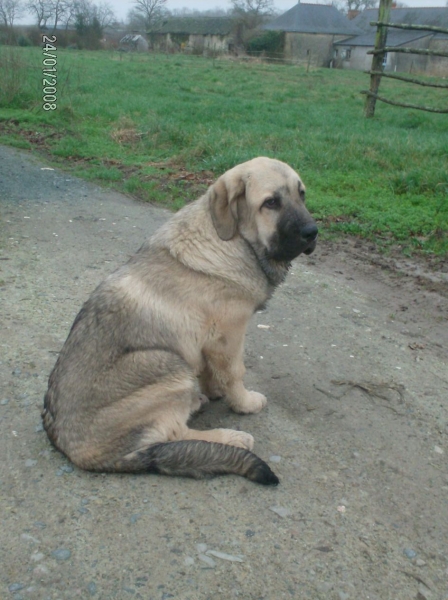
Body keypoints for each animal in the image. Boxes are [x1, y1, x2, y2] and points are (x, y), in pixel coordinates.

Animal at [41, 157, 316, 486]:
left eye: (302, 194)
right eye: (271, 202)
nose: (313, 232)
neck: (230, 239)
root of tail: (77, 453)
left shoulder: (210, 341)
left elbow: (213, 371)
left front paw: (215, 391)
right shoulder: (229, 335)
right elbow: (235, 373)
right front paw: (244, 403)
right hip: (166, 363)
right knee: (174, 433)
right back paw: (232, 437)